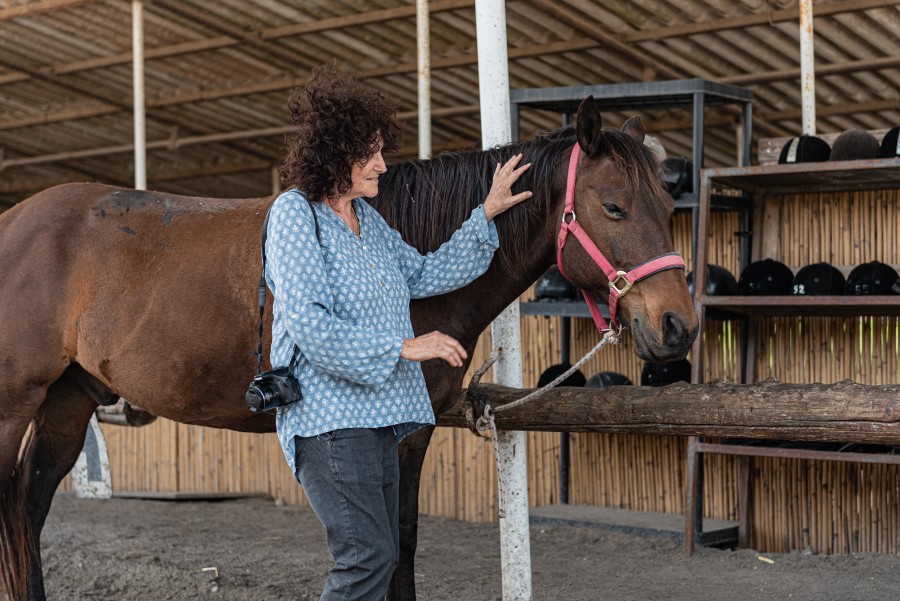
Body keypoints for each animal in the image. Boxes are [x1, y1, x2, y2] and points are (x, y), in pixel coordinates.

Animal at [0, 98, 700, 600]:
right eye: (612, 206)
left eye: (669, 202)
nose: (679, 327)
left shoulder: (411, 433)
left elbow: (403, 541)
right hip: (15, 405)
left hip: (69, 401)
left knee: (27, 511)